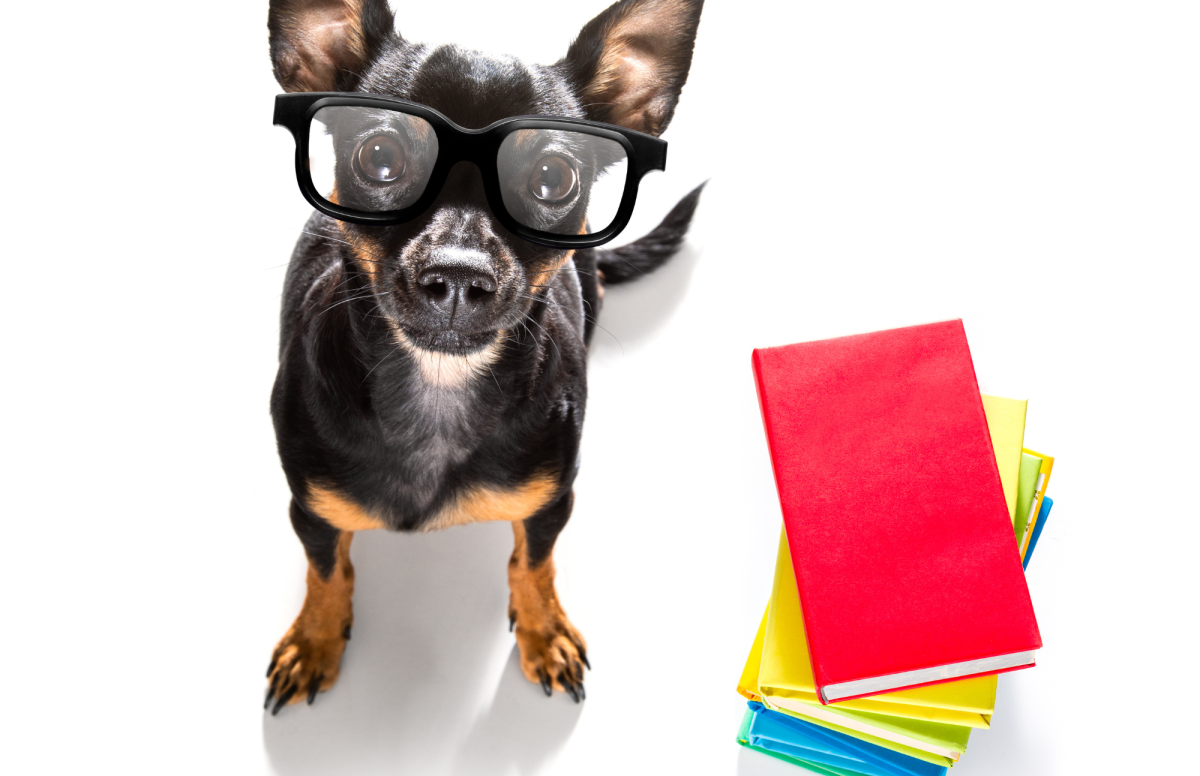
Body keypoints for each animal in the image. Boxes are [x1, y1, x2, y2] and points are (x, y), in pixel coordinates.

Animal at [264, 0, 705, 714]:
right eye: (380, 156)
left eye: (554, 178)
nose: (458, 275)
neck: (439, 392)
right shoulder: (311, 510)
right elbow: (326, 571)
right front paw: (316, 639)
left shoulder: (552, 501)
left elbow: (534, 562)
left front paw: (544, 631)